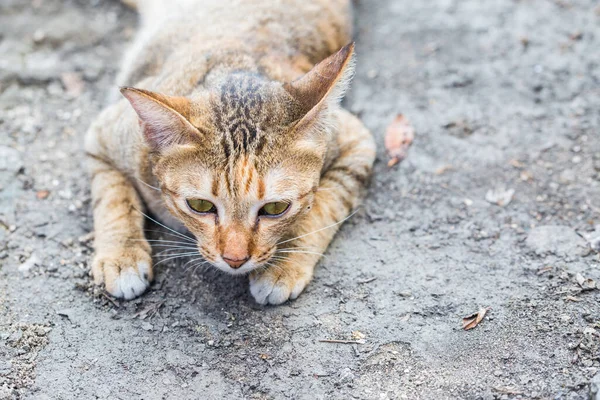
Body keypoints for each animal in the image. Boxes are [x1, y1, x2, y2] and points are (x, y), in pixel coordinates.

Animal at [84, 0, 376, 304]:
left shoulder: (357, 142)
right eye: (200, 205)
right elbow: (114, 197)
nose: (235, 259)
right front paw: (122, 256)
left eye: (275, 208)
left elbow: (322, 207)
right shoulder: (103, 135)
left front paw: (285, 264)